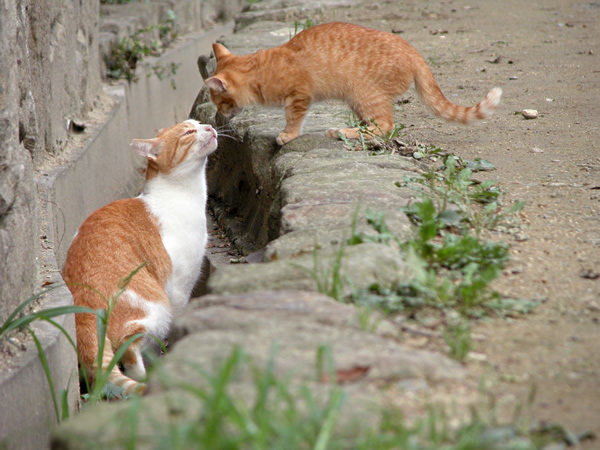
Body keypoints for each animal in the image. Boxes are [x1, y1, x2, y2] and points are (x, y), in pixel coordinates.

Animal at [62, 118, 218, 394]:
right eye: (189, 132)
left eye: (199, 123)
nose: (209, 127)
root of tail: (81, 301)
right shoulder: (180, 287)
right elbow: (178, 316)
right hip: (156, 305)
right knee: (128, 345)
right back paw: (145, 376)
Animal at [206, 22, 502, 145]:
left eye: (219, 101)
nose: (219, 113)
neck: (261, 69)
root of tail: (412, 49)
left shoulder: (299, 96)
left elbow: (293, 118)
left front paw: (288, 135)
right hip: (357, 100)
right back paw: (347, 129)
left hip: (364, 94)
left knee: (385, 126)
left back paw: (344, 132)